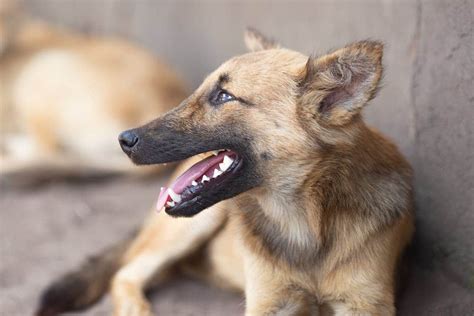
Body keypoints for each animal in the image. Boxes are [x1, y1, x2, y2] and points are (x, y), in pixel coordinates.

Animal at [38, 28, 414, 314]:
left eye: (223, 96)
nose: (124, 140)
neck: (305, 226)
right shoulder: (268, 302)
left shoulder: (367, 303)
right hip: (194, 223)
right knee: (125, 274)